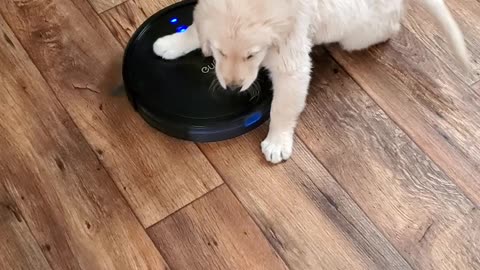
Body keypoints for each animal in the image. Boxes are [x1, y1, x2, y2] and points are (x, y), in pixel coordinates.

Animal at [153, 0, 468, 163]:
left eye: (252, 55)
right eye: (219, 52)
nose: (232, 88)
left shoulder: (292, 61)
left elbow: (281, 108)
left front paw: (277, 142)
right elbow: (195, 29)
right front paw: (171, 43)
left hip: (359, 31)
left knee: (390, 25)